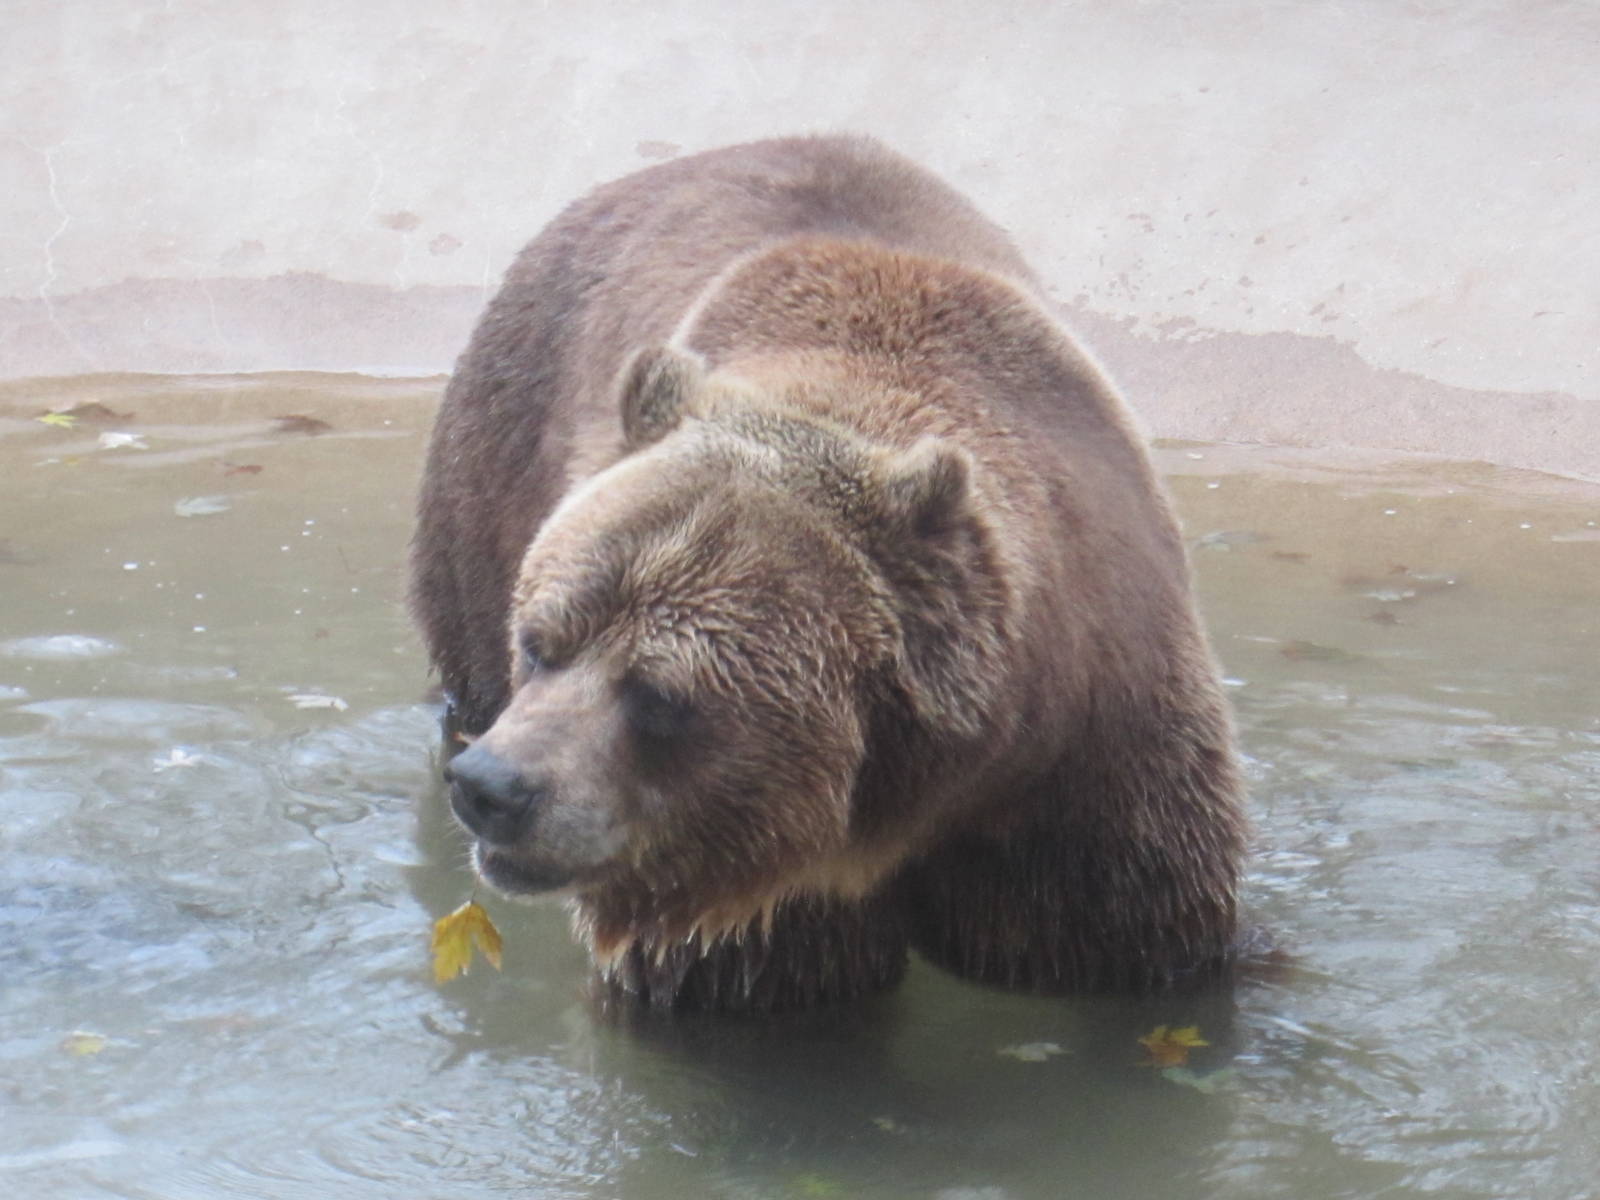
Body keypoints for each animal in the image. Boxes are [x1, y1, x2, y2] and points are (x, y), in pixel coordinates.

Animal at [410, 134, 1247, 1013]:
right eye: (540, 643)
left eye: (660, 694)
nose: (494, 786)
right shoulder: (746, 887)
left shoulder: (1097, 777)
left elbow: (1130, 940)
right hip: (490, 490)